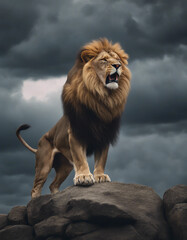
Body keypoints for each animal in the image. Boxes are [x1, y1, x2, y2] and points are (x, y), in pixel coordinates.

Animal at [16, 38, 131, 199]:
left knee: (53, 185)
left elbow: (101, 159)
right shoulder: (76, 134)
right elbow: (80, 158)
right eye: (104, 60)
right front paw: (84, 177)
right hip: (44, 165)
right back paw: (36, 201)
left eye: (118, 59)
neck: (102, 98)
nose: (117, 66)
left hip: (65, 166)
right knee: (35, 187)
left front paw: (100, 176)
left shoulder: (104, 136)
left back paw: (57, 197)